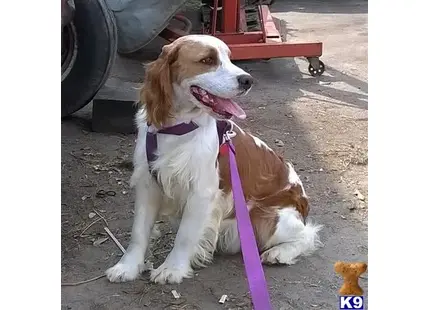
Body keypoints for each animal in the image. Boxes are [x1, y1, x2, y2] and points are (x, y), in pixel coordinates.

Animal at [105, 34, 322, 284]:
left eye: (229, 58)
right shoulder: (148, 184)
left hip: (267, 217)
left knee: (307, 234)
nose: (247, 80)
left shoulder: (201, 192)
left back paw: (280, 252)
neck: (177, 128)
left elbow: (185, 235)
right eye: (207, 60)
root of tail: (303, 203)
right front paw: (128, 266)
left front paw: (172, 268)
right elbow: (139, 231)